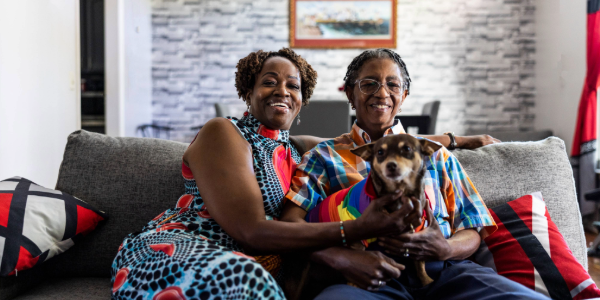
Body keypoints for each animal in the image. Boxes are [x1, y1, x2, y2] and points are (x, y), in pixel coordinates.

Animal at [352, 134, 440, 286]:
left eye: (407, 149)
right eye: (380, 152)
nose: (391, 165)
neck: (401, 190)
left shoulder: (417, 236)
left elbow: (420, 263)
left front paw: (426, 280)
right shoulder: (358, 241)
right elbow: (358, 259)